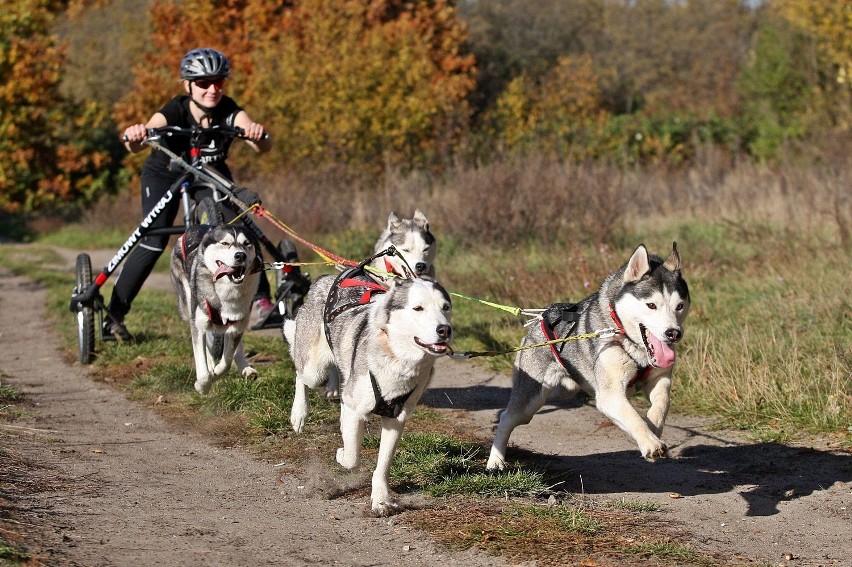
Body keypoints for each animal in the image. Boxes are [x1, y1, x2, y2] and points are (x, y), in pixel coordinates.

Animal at [172, 224, 262, 392]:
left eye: (246, 243)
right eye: (225, 243)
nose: (240, 256)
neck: (226, 290)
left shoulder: (237, 324)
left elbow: (226, 362)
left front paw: (216, 373)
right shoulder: (198, 324)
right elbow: (202, 360)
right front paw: (202, 385)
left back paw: (245, 368)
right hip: (188, 297)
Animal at [282, 268, 450, 516]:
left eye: (445, 307)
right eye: (418, 308)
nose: (444, 329)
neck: (396, 358)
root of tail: (324, 278)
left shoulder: (396, 418)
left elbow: (383, 465)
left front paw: (380, 500)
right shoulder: (355, 407)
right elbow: (352, 457)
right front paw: (342, 455)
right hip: (314, 369)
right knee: (300, 374)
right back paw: (299, 413)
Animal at [490, 242, 688, 468]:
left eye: (679, 306)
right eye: (651, 305)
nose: (673, 333)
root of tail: (543, 315)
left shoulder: (659, 379)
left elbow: (661, 404)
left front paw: (652, 428)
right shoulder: (610, 396)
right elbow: (633, 417)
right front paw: (650, 442)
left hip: (563, 391)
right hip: (531, 399)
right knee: (507, 417)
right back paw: (495, 461)